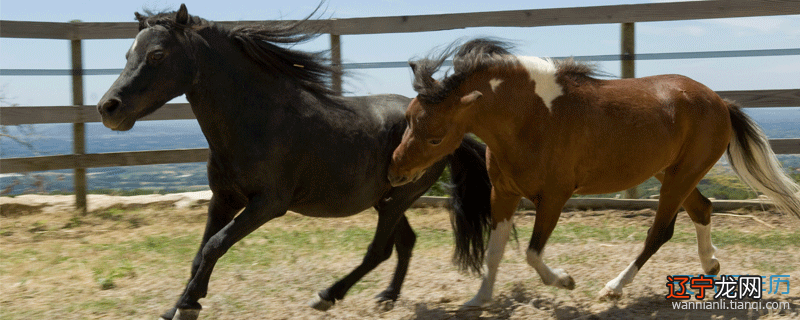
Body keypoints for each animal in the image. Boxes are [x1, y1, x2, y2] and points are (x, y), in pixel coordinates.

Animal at [96, 5, 490, 320]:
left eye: (157, 54)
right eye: (128, 53)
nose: (108, 108)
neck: (256, 119)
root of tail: (453, 131)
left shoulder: (269, 204)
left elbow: (214, 246)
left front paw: (190, 305)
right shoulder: (223, 199)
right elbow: (199, 253)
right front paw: (176, 307)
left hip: (398, 200)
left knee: (380, 250)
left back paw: (327, 296)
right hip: (387, 200)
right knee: (406, 242)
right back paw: (386, 297)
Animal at [388, 38, 800, 306]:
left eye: (436, 137)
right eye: (408, 118)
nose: (395, 173)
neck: (532, 118)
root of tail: (720, 101)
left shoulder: (555, 197)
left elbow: (532, 253)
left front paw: (565, 281)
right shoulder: (502, 193)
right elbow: (495, 251)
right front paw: (479, 299)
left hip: (681, 177)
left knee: (660, 232)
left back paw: (614, 287)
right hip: (672, 173)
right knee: (702, 209)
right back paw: (710, 266)